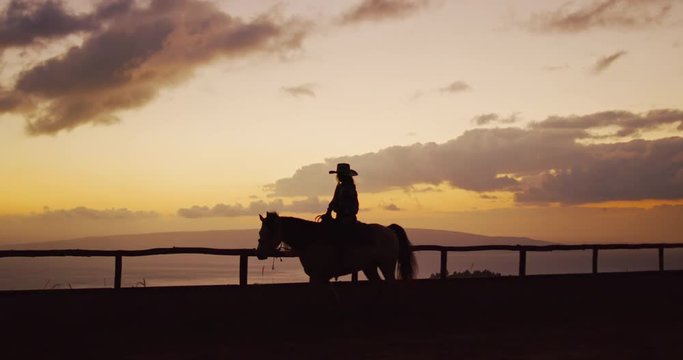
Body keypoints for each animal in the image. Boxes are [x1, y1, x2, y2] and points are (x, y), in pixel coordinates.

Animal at [256, 211, 416, 284]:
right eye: (260, 232)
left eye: (269, 232)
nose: (259, 253)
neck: (311, 239)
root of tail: (389, 230)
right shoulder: (321, 276)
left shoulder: (317, 275)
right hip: (369, 267)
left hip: (387, 265)